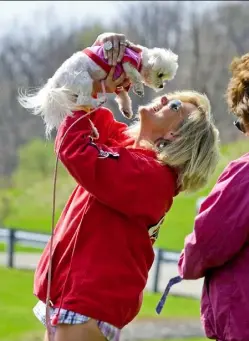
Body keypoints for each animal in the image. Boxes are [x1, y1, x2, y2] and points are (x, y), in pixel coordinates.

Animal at [19, 41, 179, 134]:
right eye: (160, 74)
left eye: (164, 77)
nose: (161, 85)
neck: (141, 56)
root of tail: (54, 82)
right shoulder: (126, 63)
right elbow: (135, 75)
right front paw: (139, 88)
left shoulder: (118, 84)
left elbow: (123, 97)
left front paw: (126, 110)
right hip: (83, 79)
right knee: (83, 100)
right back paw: (98, 102)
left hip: (73, 94)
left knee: (80, 106)